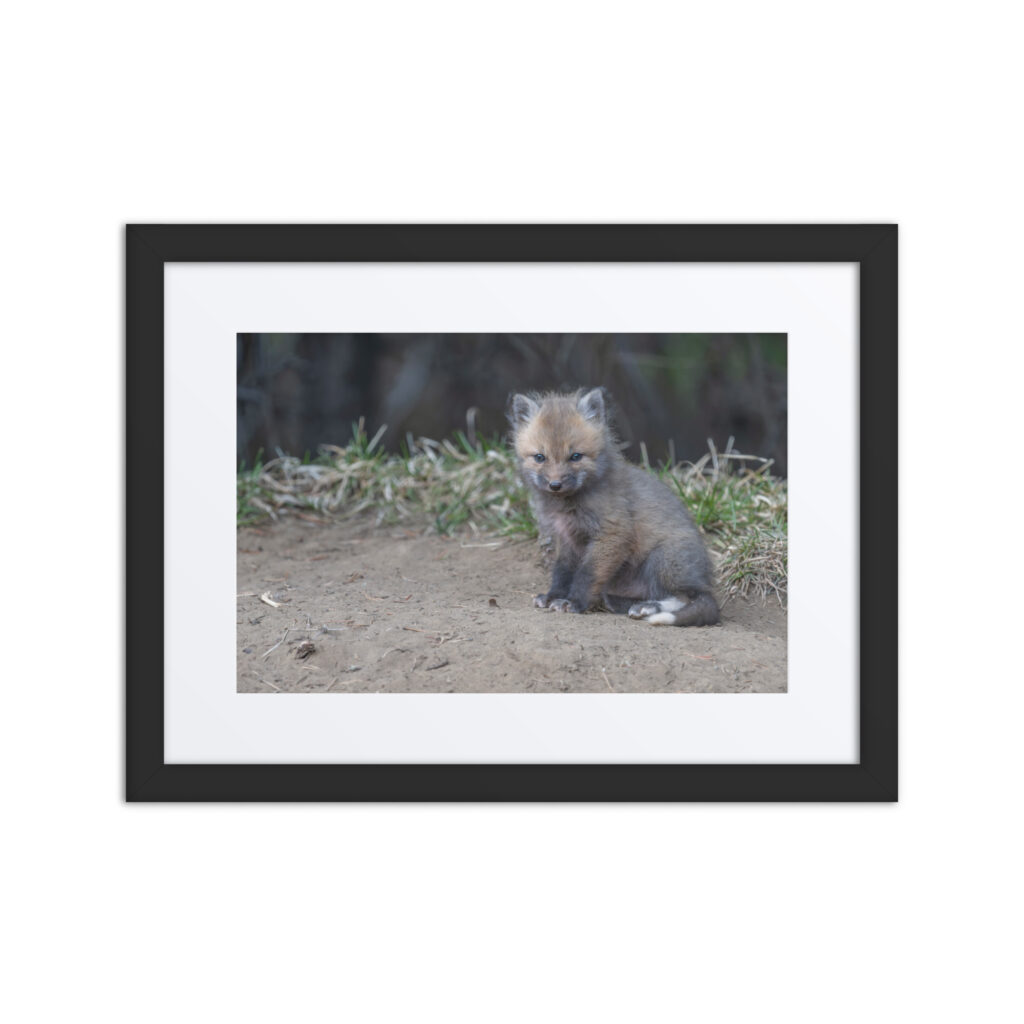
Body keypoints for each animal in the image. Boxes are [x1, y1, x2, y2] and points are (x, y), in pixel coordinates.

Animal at [508, 388, 720, 627]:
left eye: (575, 456)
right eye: (540, 457)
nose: (555, 485)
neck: (568, 505)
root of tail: (704, 581)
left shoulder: (612, 533)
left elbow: (587, 574)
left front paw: (573, 602)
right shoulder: (566, 538)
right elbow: (562, 572)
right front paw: (553, 596)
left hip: (663, 559)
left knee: (686, 597)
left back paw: (648, 608)